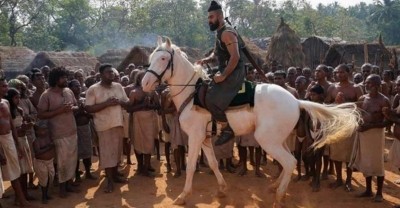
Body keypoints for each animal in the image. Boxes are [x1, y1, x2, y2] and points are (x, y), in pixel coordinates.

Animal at [141, 36, 360, 207]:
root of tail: (296, 100)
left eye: (163, 58)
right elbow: (212, 163)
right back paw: (275, 187)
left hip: (266, 140)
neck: (192, 93)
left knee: (289, 161)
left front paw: (183, 195)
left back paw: (279, 196)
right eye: (151, 59)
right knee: (290, 159)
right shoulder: (204, 137)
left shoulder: (195, 136)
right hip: (276, 139)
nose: (145, 83)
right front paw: (222, 188)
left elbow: (192, 166)